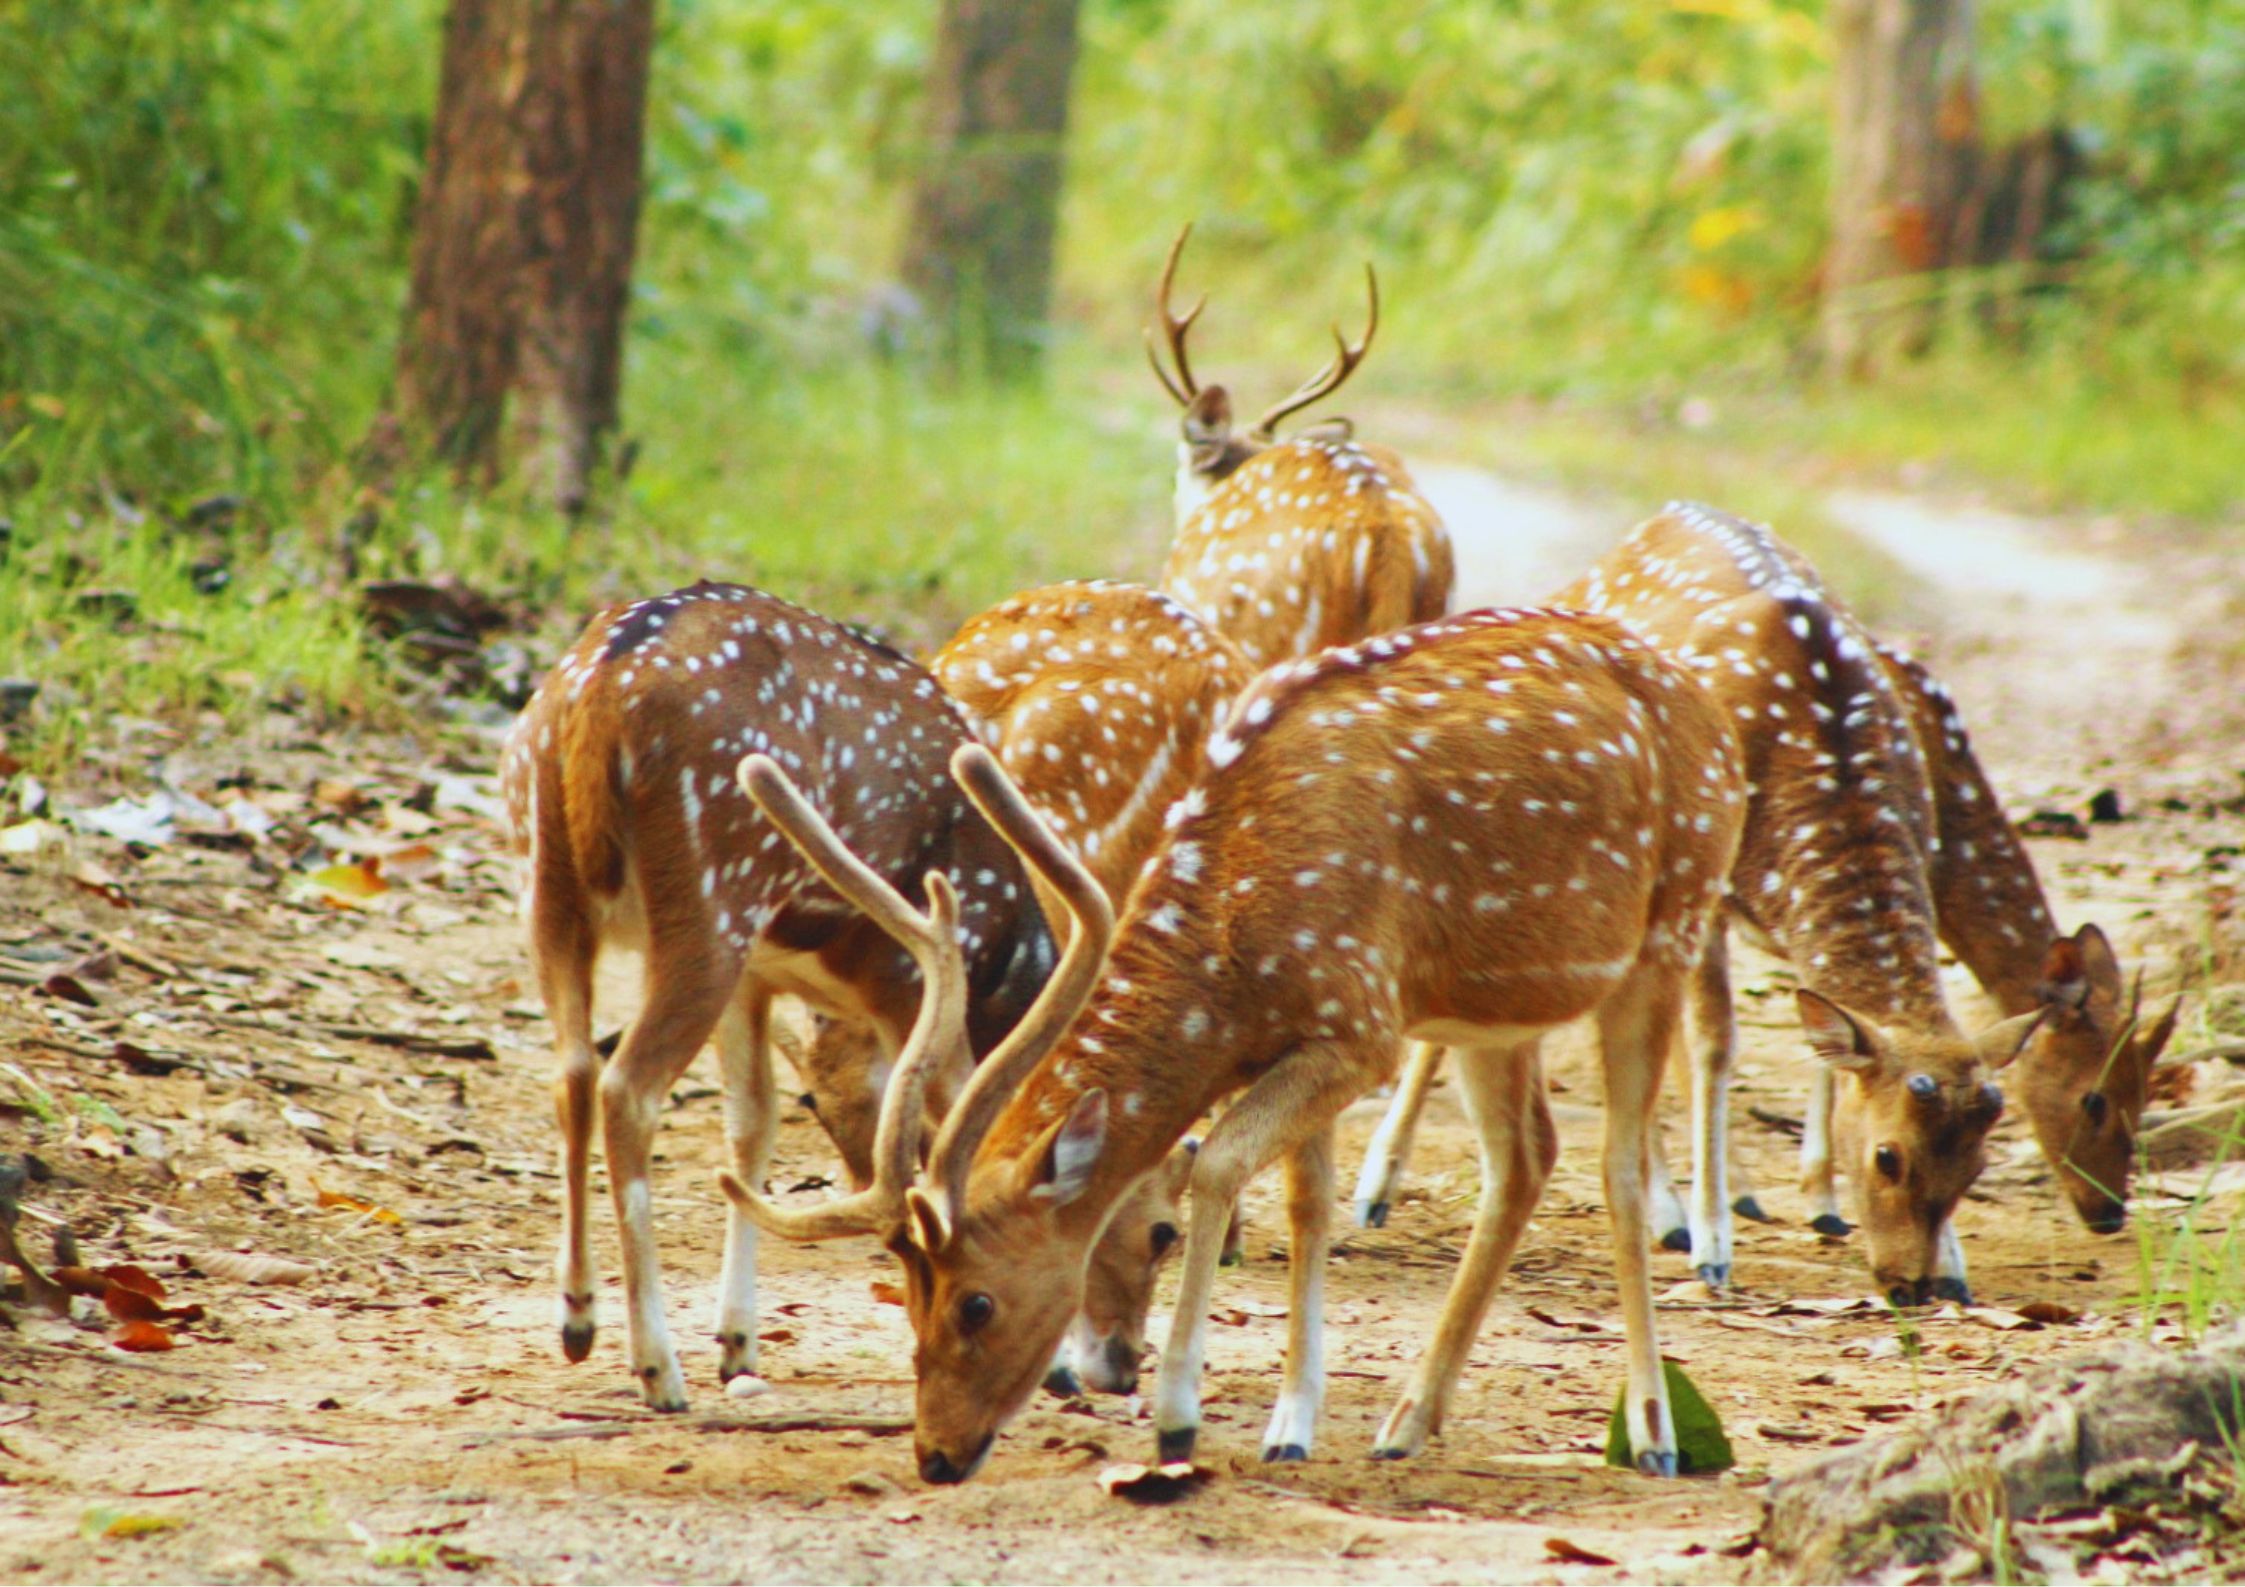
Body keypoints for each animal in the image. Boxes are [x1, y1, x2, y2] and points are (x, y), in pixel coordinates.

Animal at [497, 579, 1187, 1410]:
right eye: (1160, 1228)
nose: (1120, 1365)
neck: (1002, 956)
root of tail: (593, 695)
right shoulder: (908, 976)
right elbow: (949, 1121)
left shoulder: (759, 976)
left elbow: (752, 1124)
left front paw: (738, 1342)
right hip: (710, 900)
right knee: (627, 1086)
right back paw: (657, 1365)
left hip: (548, 886)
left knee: (570, 1071)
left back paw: (577, 1317)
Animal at [722, 604, 1749, 1482]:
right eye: (905, 1289)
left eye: (976, 1299)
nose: (935, 1452)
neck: (1234, 948)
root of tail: (1714, 717)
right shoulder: (1330, 1033)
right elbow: (1306, 1202)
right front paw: (1291, 1422)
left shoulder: (1361, 1024)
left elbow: (1216, 1160)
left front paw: (1179, 1416)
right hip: (1494, 1006)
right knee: (1526, 1156)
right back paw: (1409, 1419)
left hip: (1669, 924)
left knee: (1615, 1166)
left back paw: (1654, 1432)